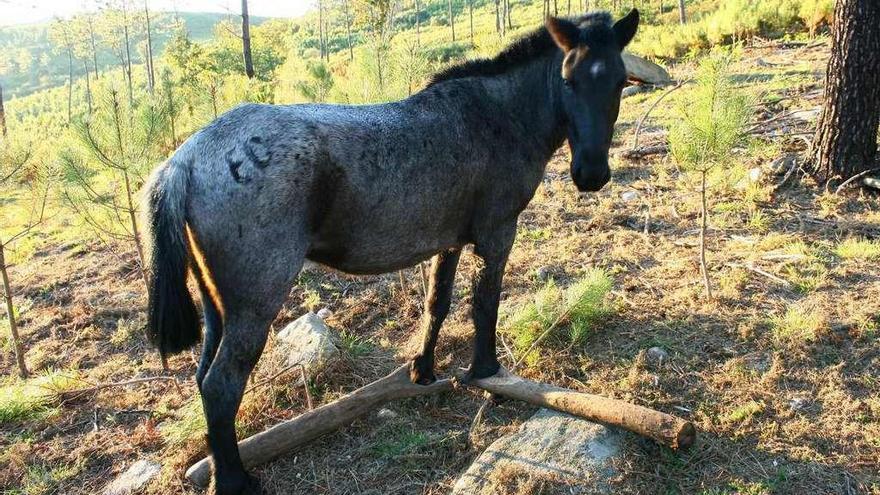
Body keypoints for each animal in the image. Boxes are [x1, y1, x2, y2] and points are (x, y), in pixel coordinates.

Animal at [144, 9, 640, 494]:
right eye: (569, 80)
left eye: (620, 81)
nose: (591, 173)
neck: (499, 117)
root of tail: (184, 161)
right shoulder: (497, 235)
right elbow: (485, 305)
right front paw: (486, 372)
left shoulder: (449, 241)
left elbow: (437, 304)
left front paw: (423, 370)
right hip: (255, 303)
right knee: (222, 385)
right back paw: (234, 481)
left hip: (217, 305)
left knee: (203, 379)